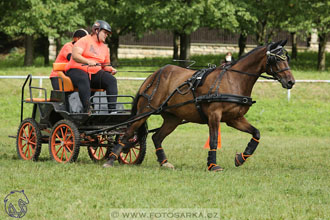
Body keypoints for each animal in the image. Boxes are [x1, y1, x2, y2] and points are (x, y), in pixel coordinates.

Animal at [102, 39, 294, 171]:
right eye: (276, 59)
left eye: (287, 58)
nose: (291, 82)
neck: (233, 79)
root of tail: (153, 76)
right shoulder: (214, 115)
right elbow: (214, 140)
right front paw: (212, 165)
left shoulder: (234, 118)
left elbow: (256, 133)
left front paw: (241, 158)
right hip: (146, 111)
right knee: (128, 132)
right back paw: (111, 159)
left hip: (173, 118)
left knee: (156, 137)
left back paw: (164, 163)